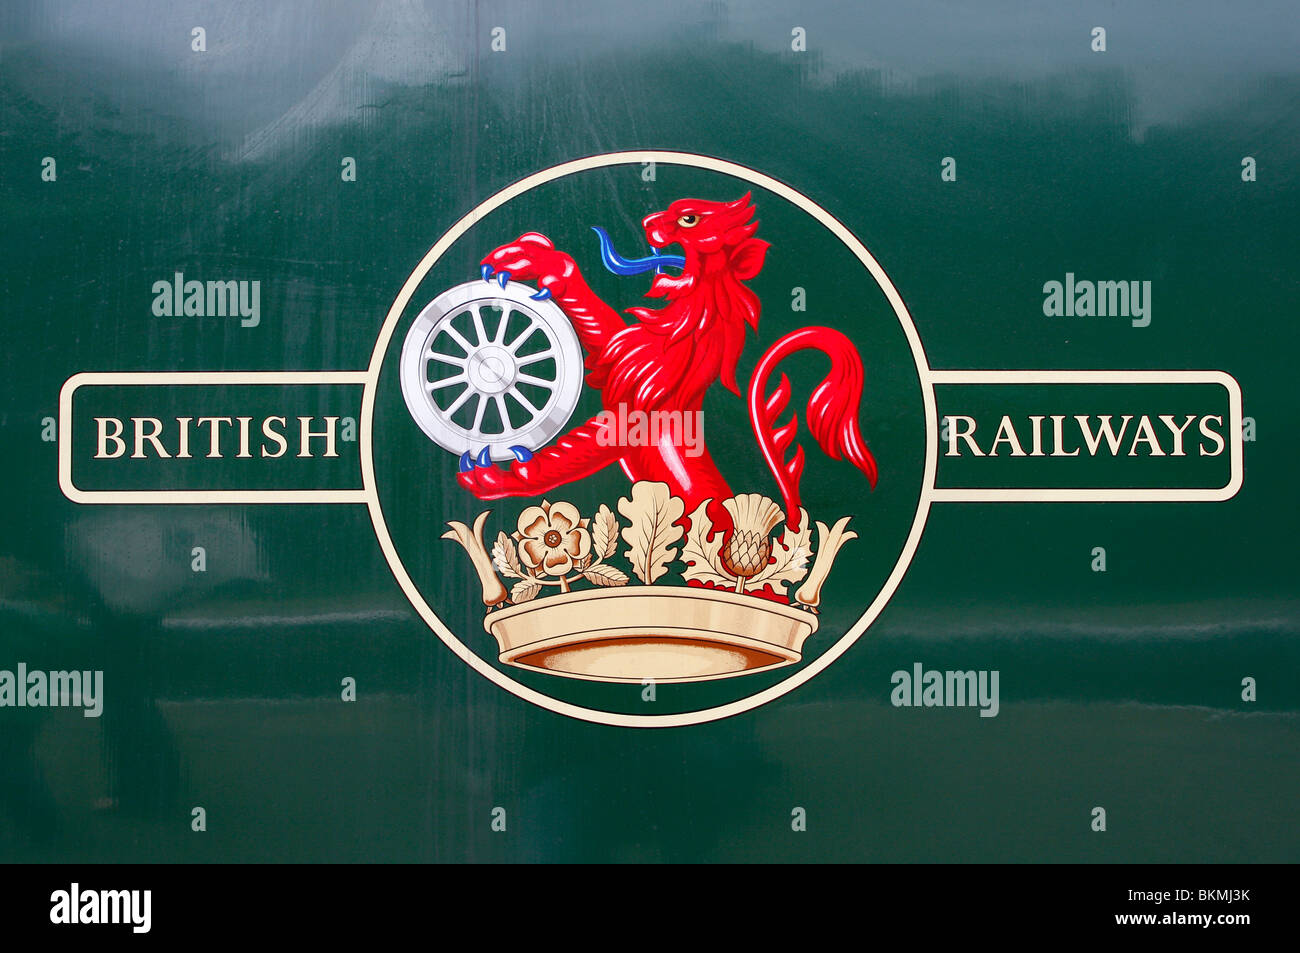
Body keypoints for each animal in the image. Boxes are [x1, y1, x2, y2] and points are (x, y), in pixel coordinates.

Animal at [462, 189, 878, 525]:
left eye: (688, 219)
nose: (647, 221)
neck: (674, 342)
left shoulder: (625, 423)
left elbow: (561, 457)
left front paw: (492, 476)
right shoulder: (614, 356)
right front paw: (533, 260)